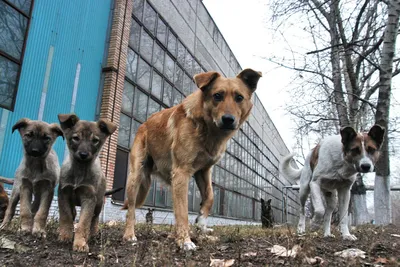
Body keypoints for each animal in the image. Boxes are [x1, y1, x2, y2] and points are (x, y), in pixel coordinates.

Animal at [57, 115, 117, 253]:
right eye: (76, 138)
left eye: (95, 140)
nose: (83, 154)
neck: (79, 170)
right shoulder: (63, 193)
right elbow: (66, 216)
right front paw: (65, 235)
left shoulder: (89, 198)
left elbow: (84, 223)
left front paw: (80, 243)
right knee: (73, 213)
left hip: (98, 203)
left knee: (94, 219)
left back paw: (93, 233)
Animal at [122, 68, 262, 251]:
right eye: (217, 95)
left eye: (239, 97)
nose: (228, 120)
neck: (207, 128)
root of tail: (143, 124)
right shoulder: (182, 172)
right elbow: (183, 211)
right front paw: (185, 241)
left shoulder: (203, 171)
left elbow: (210, 196)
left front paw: (201, 222)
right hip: (136, 176)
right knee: (131, 209)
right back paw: (129, 235)